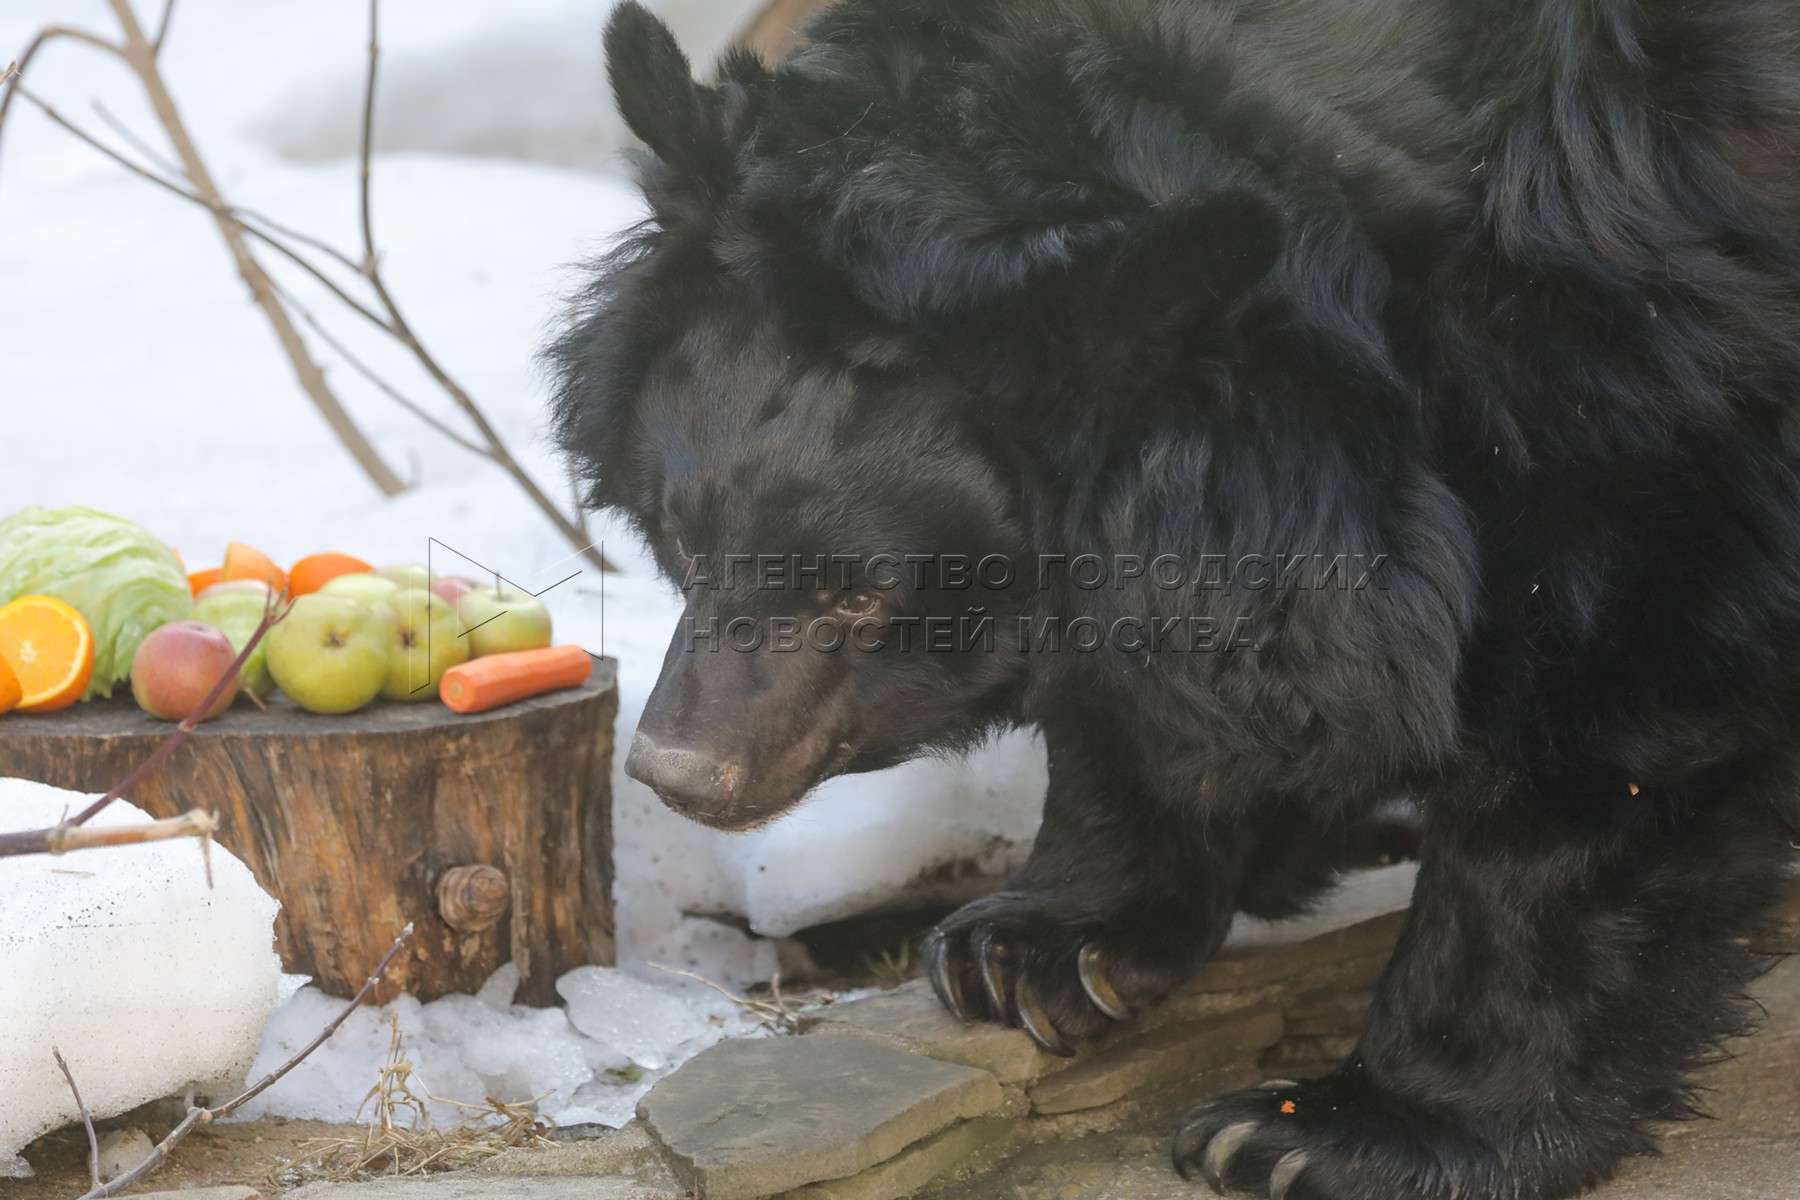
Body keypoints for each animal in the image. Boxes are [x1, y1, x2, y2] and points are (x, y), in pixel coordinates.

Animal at [547, 2, 1800, 1197]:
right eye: (686, 533)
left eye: (860, 595)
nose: (681, 772)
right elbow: (1146, 677)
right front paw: (1031, 951)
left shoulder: (1642, 395)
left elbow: (1602, 735)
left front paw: (1325, 1134)